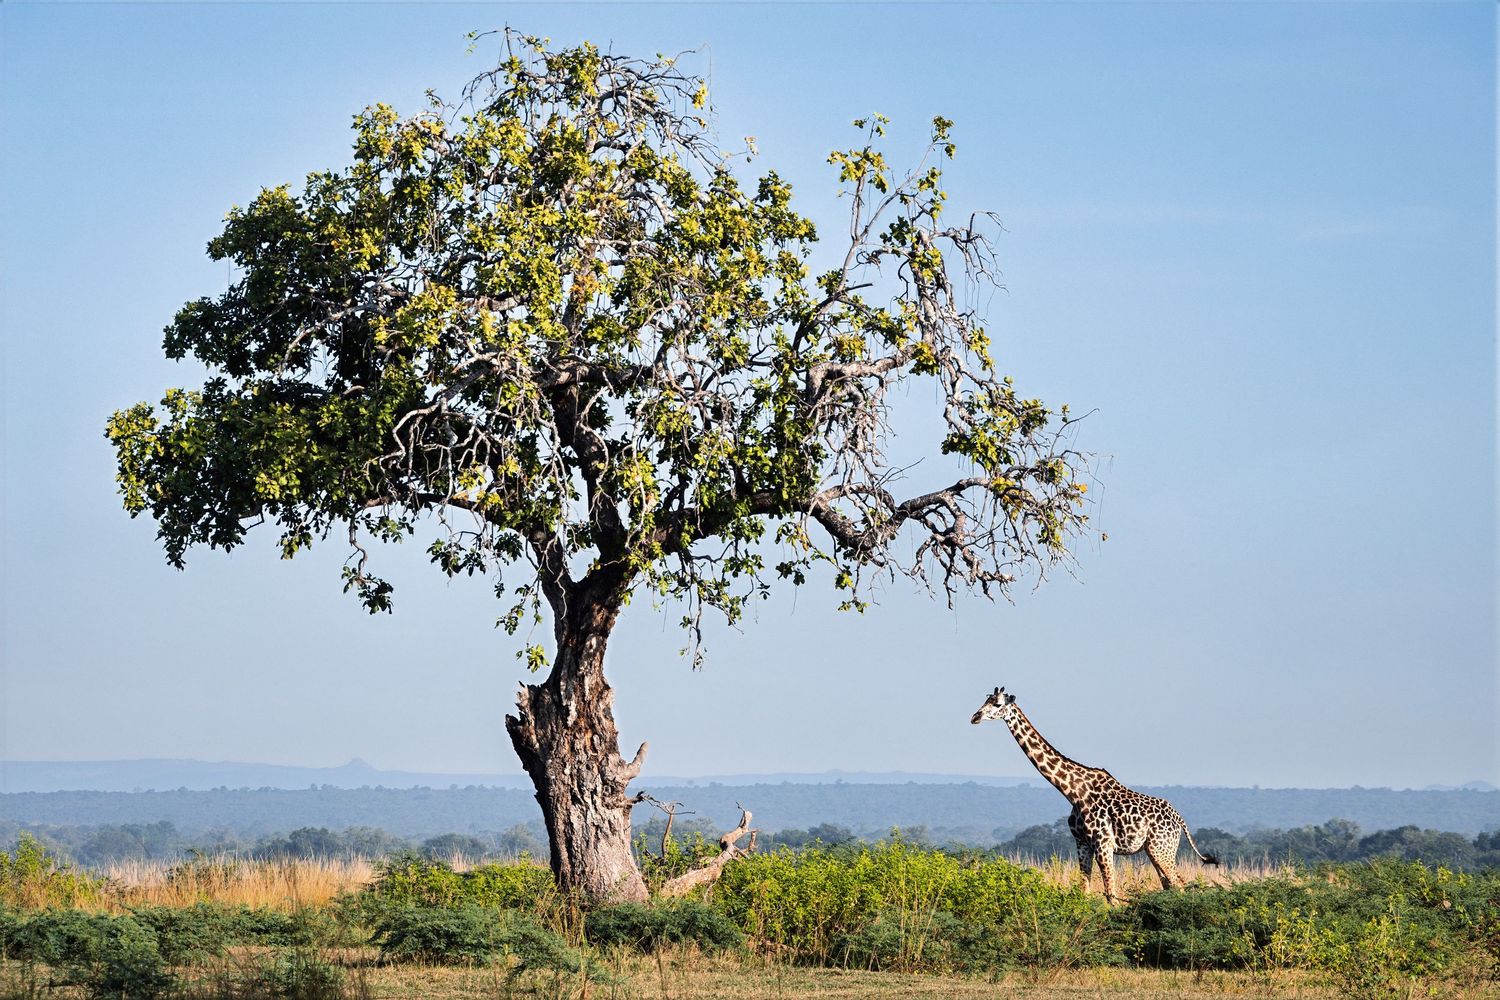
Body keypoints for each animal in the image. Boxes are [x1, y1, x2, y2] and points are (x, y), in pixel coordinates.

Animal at [971, 686, 1219, 904]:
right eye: (985, 699)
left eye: (998, 704)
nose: (974, 717)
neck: (1073, 791)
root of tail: (1180, 820)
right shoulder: (1082, 843)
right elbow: (1084, 892)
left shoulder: (1103, 844)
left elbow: (1111, 895)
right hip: (1154, 850)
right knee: (1170, 886)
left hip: (1162, 848)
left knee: (1179, 885)